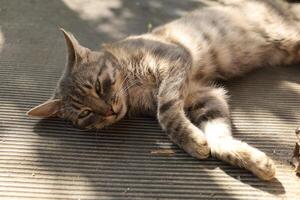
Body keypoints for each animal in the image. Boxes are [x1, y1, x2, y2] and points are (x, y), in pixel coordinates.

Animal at [26, 0, 300, 180]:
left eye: (97, 85)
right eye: (84, 114)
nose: (110, 111)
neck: (133, 89)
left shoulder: (175, 60)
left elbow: (166, 111)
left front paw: (191, 140)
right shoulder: (204, 95)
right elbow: (218, 136)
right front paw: (249, 159)